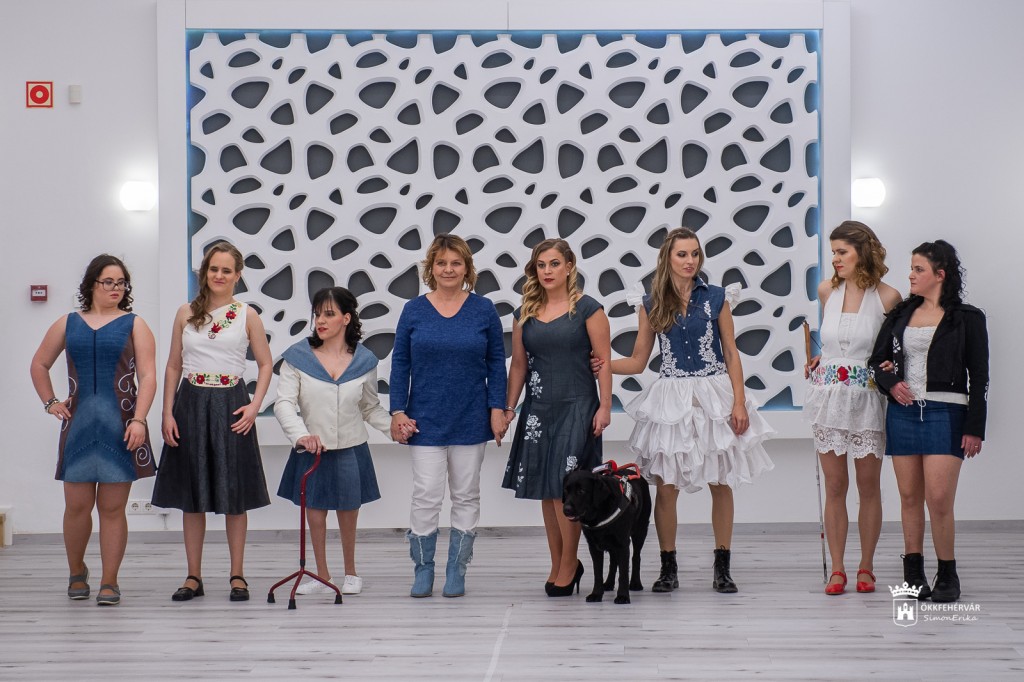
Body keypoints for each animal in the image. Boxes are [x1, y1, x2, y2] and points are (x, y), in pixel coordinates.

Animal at [562, 462, 652, 604]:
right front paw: (596, 594)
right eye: (566, 490)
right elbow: (598, 572)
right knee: (613, 562)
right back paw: (609, 583)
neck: (599, 513)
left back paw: (636, 583)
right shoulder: (594, 546)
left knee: (636, 557)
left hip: (640, 531)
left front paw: (623, 596)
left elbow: (623, 573)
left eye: (581, 491)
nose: (566, 510)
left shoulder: (623, 544)